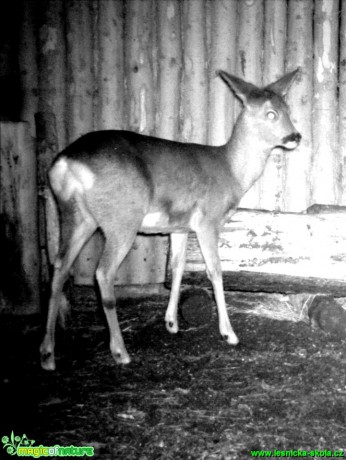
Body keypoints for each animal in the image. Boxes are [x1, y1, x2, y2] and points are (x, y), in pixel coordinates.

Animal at [39, 67, 300, 370]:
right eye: (271, 113)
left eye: (288, 109)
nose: (296, 136)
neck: (230, 171)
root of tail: (65, 163)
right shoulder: (207, 219)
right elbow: (215, 271)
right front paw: (229, 334)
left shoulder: (179, 226)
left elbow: (177, 266)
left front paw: (172, 323)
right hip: (122, 218)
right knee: (103, 272)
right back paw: (120, 352)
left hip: (76, 215)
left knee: (59, 267)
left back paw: (47, 354)